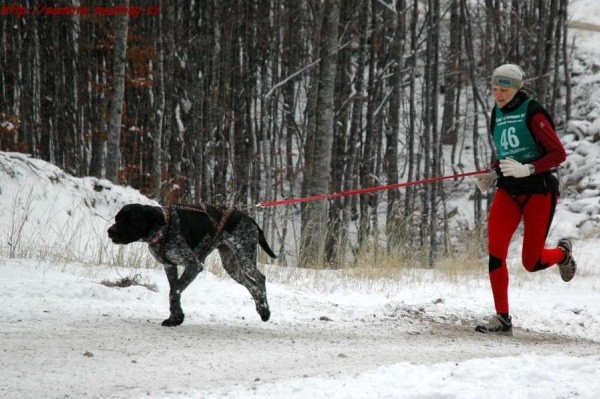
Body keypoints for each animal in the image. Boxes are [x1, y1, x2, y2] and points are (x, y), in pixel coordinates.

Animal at [108, 205, 276, 326]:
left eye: (130, 219)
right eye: (117, 218)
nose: (109, 231)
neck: (164, 227)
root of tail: (252, 220)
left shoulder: (194, 265)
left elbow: (174, 291)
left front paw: (178, 317)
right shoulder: (170, 266)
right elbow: (174, 291)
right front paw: (174, 318)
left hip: (244, 258)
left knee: (260, 279)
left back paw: (264, 309)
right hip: (231, 265)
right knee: (252, 285)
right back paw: (262, 310)